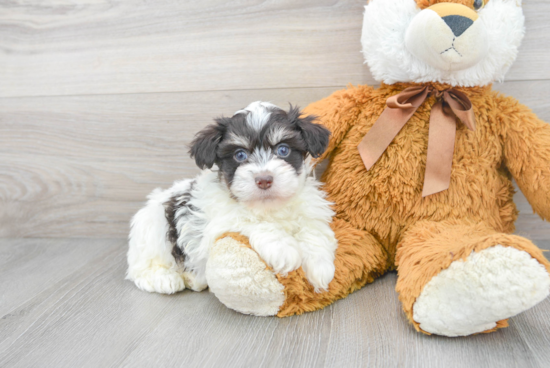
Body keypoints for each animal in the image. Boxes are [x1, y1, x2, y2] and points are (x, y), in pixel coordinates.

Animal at [126, 101, 338, 296]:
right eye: (240, 155)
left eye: (283, 150)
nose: (264, 180)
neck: (269, 206)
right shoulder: (220, 221)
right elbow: (252, 221)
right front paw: (283, 249)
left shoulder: (310, 210)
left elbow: (313, 231)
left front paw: (320, 267)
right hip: (153, 229)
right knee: (143, 265)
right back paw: (163, 279)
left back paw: (194, 279)